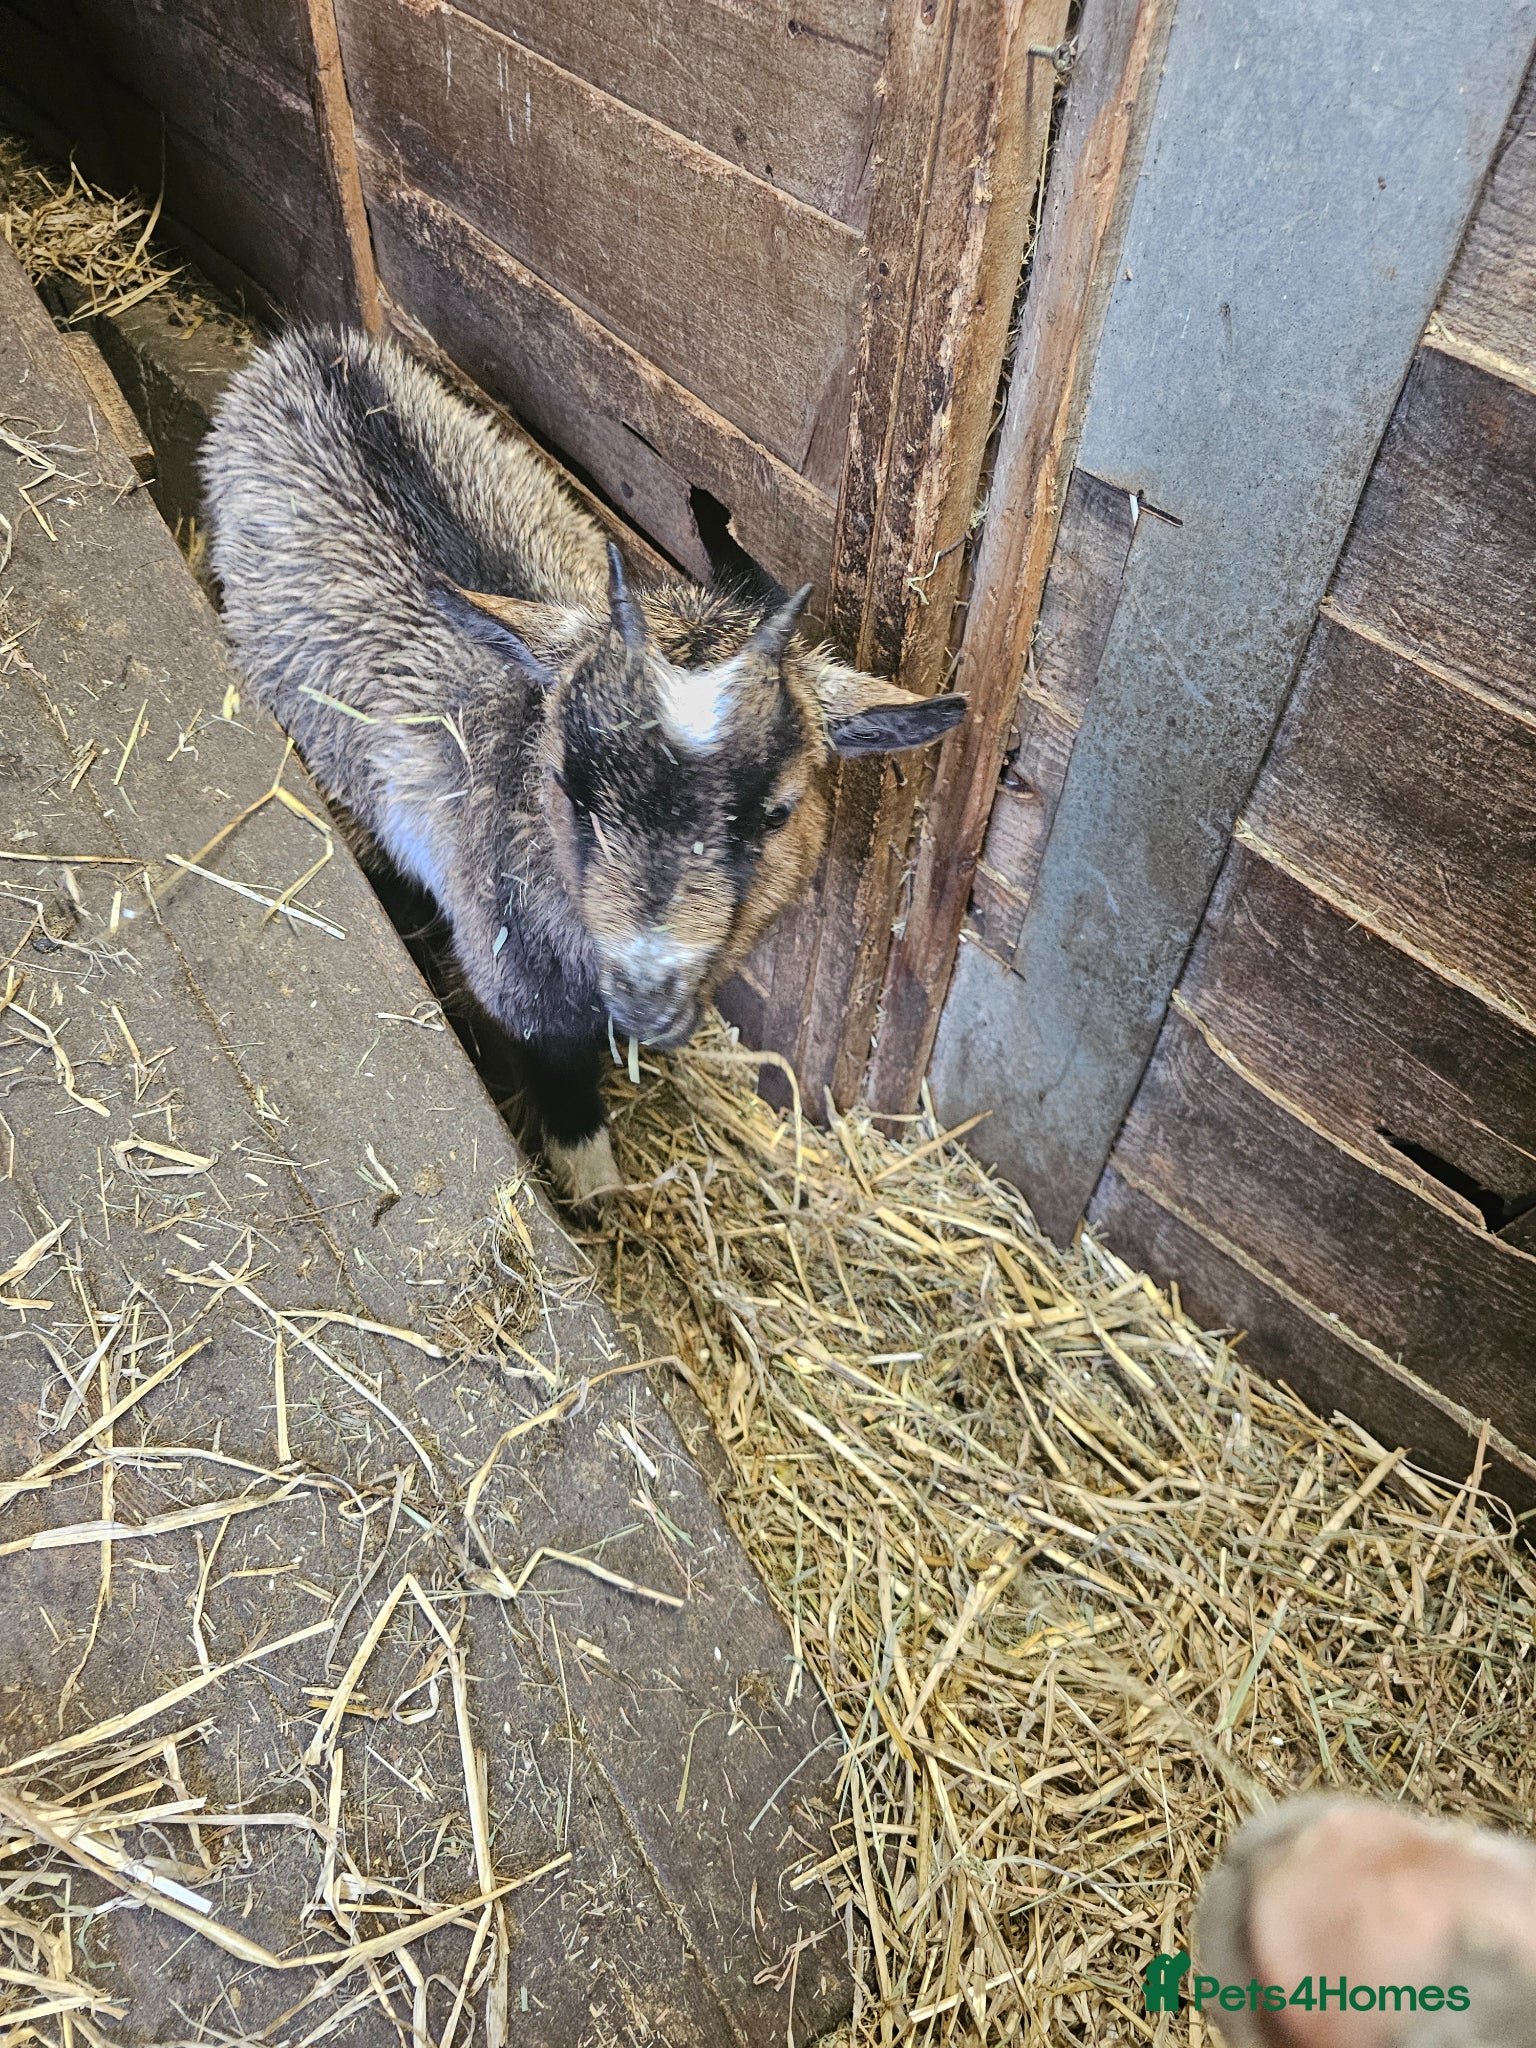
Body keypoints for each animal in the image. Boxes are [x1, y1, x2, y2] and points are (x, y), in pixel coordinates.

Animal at [202, 329, 965, 1204]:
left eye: (777, 810)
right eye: (569, 785)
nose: (644, 995)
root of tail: (304, 349)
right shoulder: (519, 982)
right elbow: (562, 1077)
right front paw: (594, 1189)